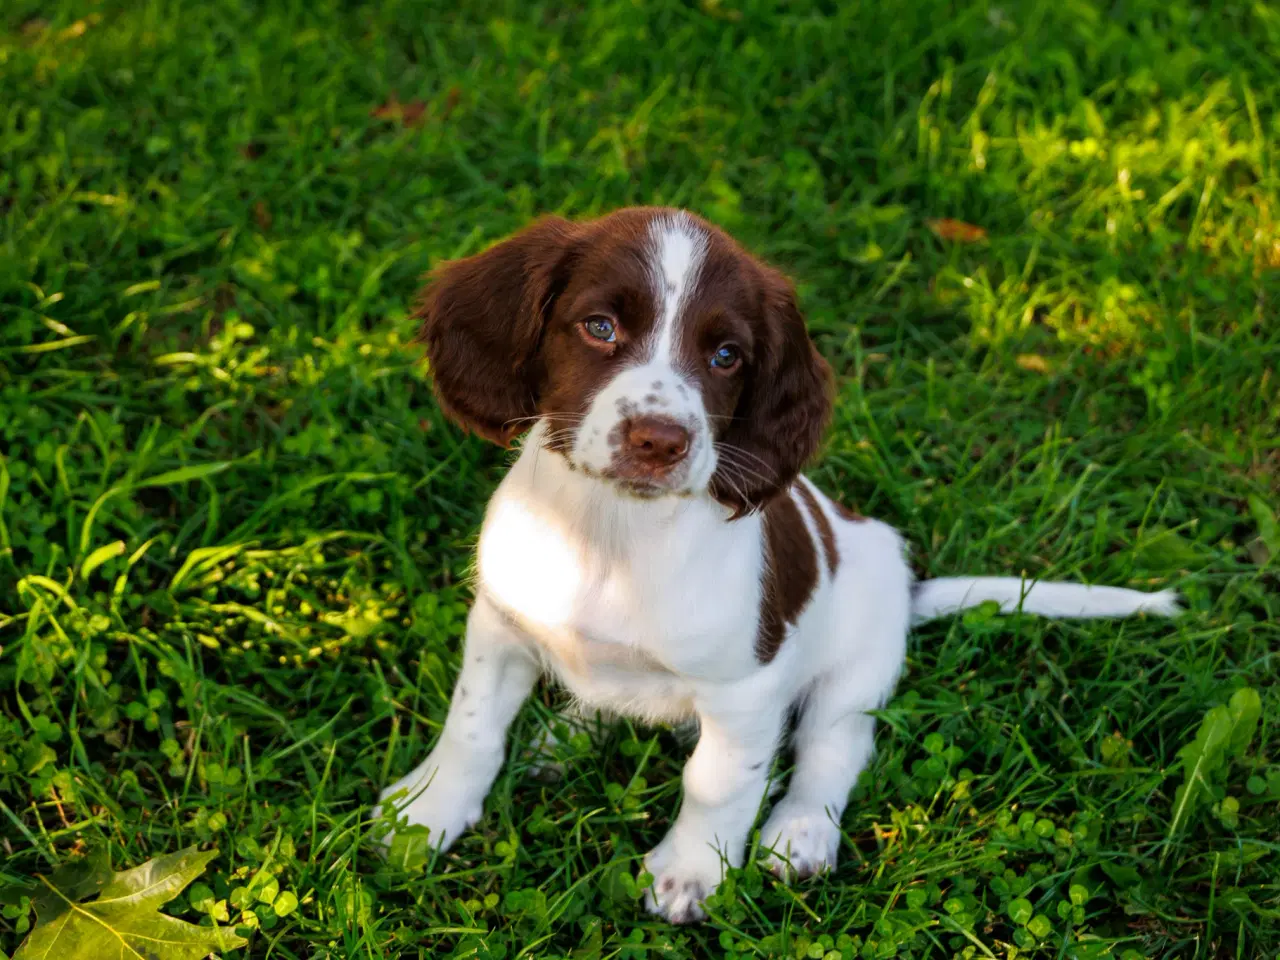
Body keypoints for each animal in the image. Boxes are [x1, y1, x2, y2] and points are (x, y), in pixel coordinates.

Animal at [378, 208, 1177, 926]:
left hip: (858, 670)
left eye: (727, 356)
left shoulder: (746, 690)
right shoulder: (501, 625)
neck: (611, 534)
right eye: (599, 326)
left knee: (832, 749)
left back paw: (800, 832)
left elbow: (717, 782)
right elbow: (471, 727)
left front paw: (691, 873)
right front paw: (428, 812)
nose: (659, 441)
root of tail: (904, 580)